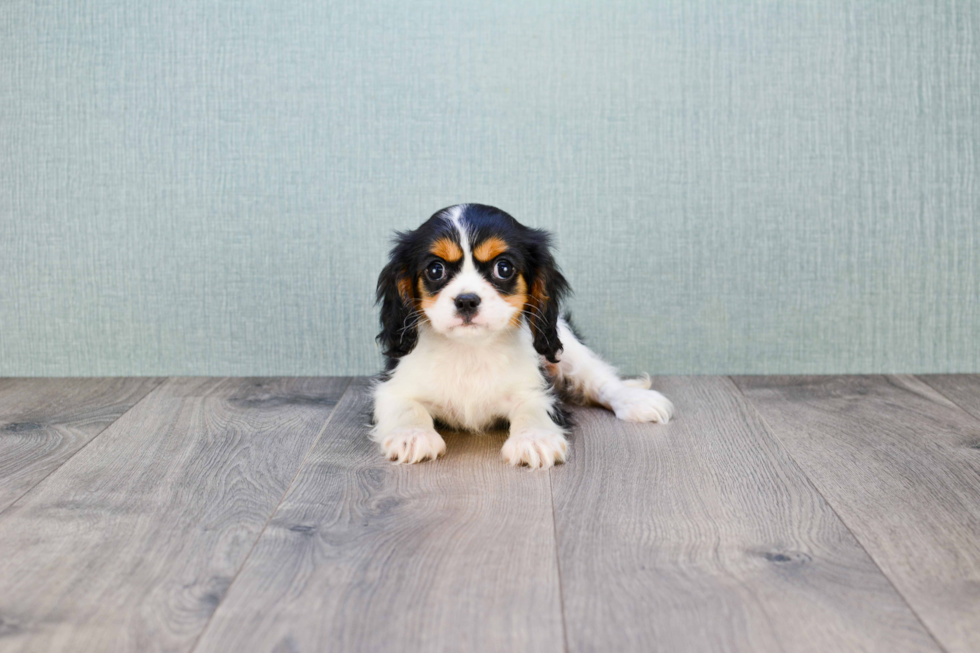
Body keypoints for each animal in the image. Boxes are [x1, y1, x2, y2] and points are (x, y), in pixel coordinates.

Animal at [374, 201, 672, 466]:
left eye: (503, 268)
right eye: (436, 270)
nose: (467, 300)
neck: (470, 348)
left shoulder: (535, 388)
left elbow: (532, 407)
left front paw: (534, 439)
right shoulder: (392, 388)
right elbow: (406, 406)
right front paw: (412, 435)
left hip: (566, 346)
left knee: (600, 380)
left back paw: (635, 400)